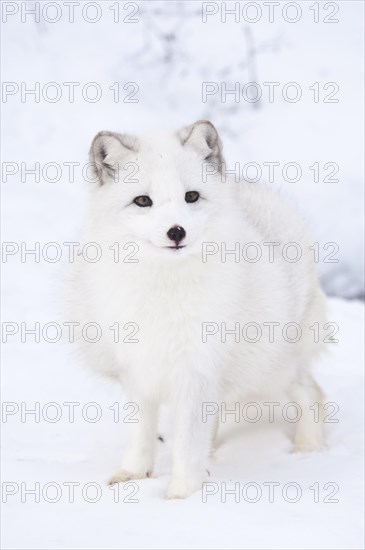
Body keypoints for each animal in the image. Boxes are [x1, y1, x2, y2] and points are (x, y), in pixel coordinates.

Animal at [68, 121, 324, 500]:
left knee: (311, 391)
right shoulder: (137, 369)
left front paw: (181, 494)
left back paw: (309, 449)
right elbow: (142, 431)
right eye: (143, 201)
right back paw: (214, 453)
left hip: (270, 365)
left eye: (191, 196)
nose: (176, 231)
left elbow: (188, 442)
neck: (164, 287)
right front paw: (135, 473)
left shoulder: (196, 371)